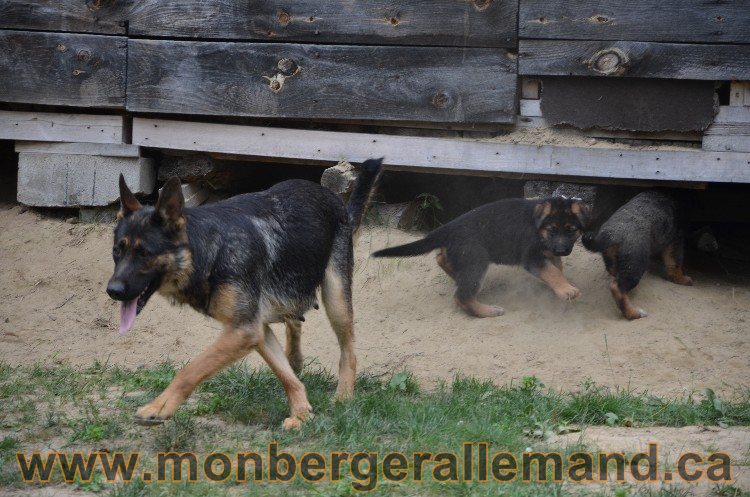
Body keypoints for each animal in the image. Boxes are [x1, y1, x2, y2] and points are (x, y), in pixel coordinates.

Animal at [106, 158, 382, 426]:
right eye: (117, 251)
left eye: (145, 253)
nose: (113, 291)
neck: (210, 251)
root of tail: (336, 201)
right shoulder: (256, 329)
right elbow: (284, 374)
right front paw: (302, 413)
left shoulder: (244, 330)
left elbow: (191, 369)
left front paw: (160, 407)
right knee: (294, 321)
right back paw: (295, 359)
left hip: (336, 299)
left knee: (348, 351)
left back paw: (343, 395)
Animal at [374, 197, 592, 318]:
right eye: (552, 230)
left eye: (571, 230)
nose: (561, 250)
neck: (538, 226)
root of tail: (448, 228)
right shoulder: (531, 257)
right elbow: (552, 271)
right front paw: (566, 290)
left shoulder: (548, 253)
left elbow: (557, 268)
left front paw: (558, 285)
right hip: (476, 262)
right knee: (461, 296)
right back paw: (487, 311)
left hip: (463, 256)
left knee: (442, 259)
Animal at [584, 188, 696, 320]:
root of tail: (608, 236)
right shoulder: (675, 239)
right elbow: (675, 263)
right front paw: (683, 279)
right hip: (636, 263)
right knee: (617, 287)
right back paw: (634, 313)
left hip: (614, 260)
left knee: (614, 274)